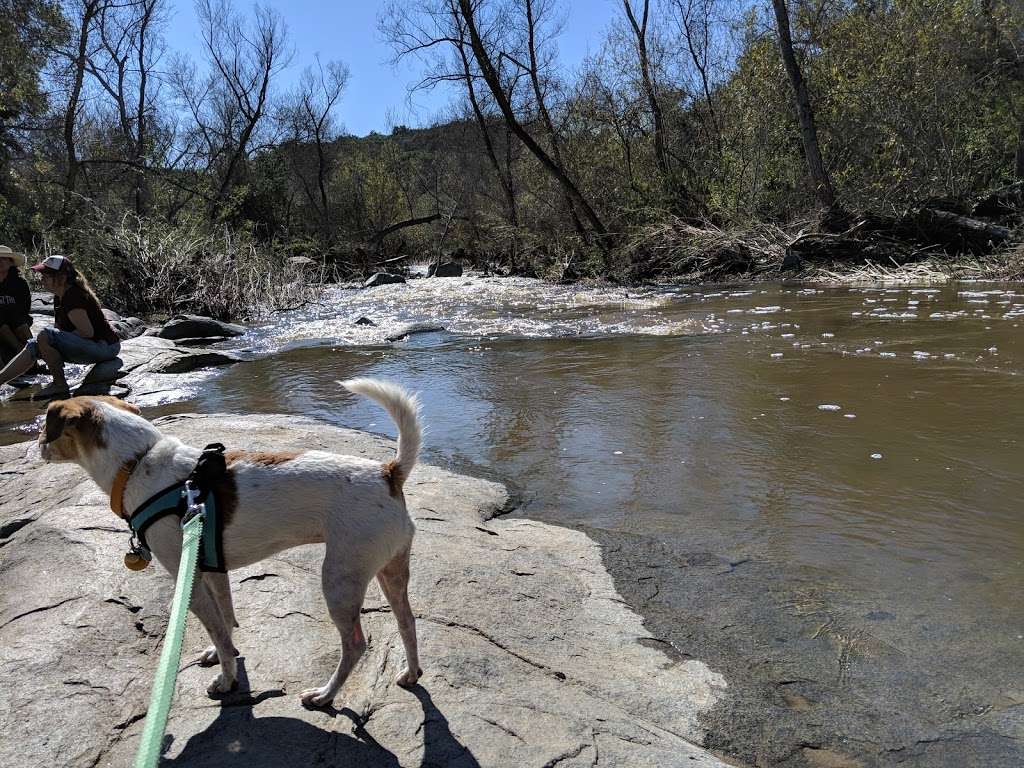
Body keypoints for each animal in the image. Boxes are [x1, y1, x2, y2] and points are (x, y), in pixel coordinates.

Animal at [38, 378, 423, 708]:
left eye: (45, 428)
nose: (38, 447)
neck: (136, 462)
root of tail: (388, 472)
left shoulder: (188, 581)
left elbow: (219, 633)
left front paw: (226, 679)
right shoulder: (212, 568)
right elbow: (225, 619)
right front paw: (220, 653)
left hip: (339, 581)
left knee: (355, 646)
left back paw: (325, 695)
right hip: (390, 573)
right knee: (407, 621)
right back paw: (410, 673)